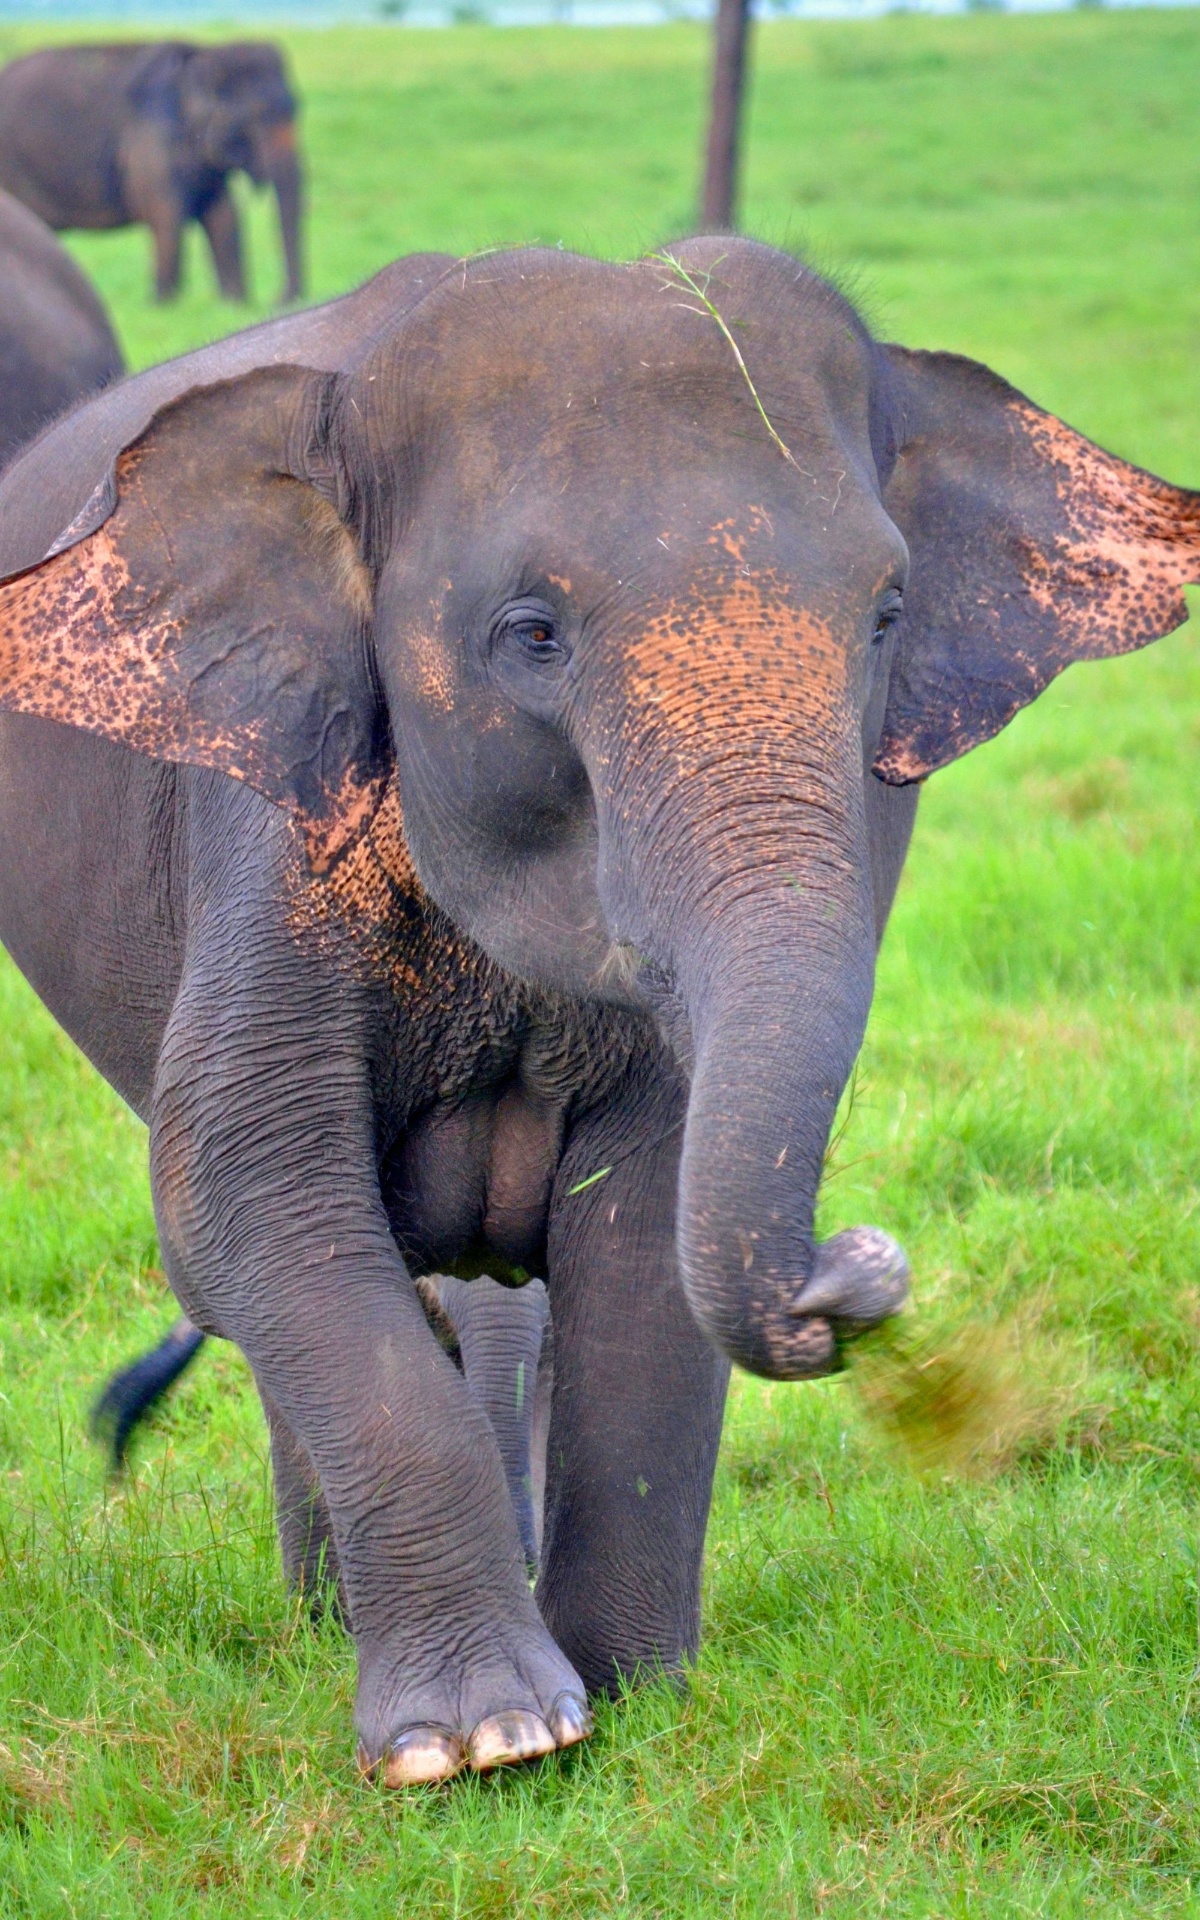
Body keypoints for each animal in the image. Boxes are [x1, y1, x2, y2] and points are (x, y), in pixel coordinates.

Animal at [0, 42, 303, 305]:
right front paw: (165, 305)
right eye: (251, 118)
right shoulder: (152, 140)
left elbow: (224, 215)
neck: (203, 54)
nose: (277, 299)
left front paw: (233, 304)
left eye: (295, 108)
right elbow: (167, 213)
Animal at [0, 239, 1196, 1789]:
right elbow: (246, 1190)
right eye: (532, 634)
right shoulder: (269, 834)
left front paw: (630, 1704)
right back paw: (330, 1627)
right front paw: (483, 1744)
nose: (852, 1274)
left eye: (886, 615)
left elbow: (645, 1226)